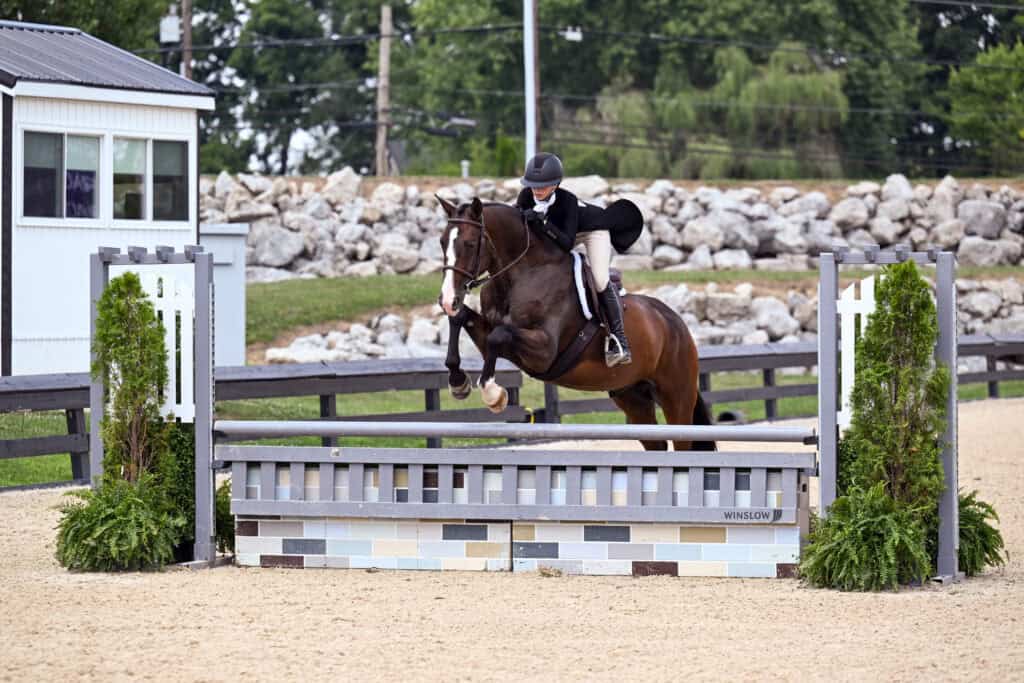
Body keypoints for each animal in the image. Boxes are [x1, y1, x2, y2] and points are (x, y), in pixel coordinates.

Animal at [437, 196, 715, 452]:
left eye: (470, 244)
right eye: (442, 242)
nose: (448, 299)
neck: (521, 275)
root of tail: (676, 323)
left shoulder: (544, 352)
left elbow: (500, 335)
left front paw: (493, 395)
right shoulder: (493, 339)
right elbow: (464, 320)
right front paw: (458, 382)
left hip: (676, 397)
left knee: (682, 441)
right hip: (632, 396)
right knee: (655, 442)